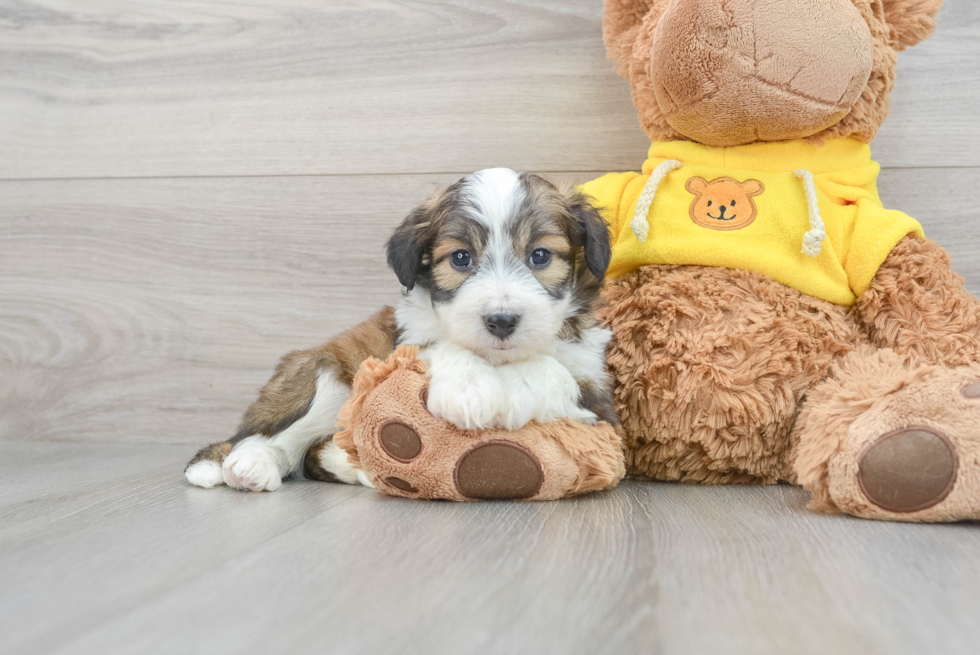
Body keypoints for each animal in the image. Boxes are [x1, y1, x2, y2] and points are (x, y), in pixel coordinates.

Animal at [185, 169, 616, 492]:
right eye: (461, 258)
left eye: (540, 255)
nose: (502, 320)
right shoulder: (404, 345)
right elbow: (442, 348)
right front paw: (468, 389)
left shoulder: (599, 404)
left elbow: (554, 371)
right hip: (325, 377)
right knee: (269, 437)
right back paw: (248, 465)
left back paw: (351, 465)